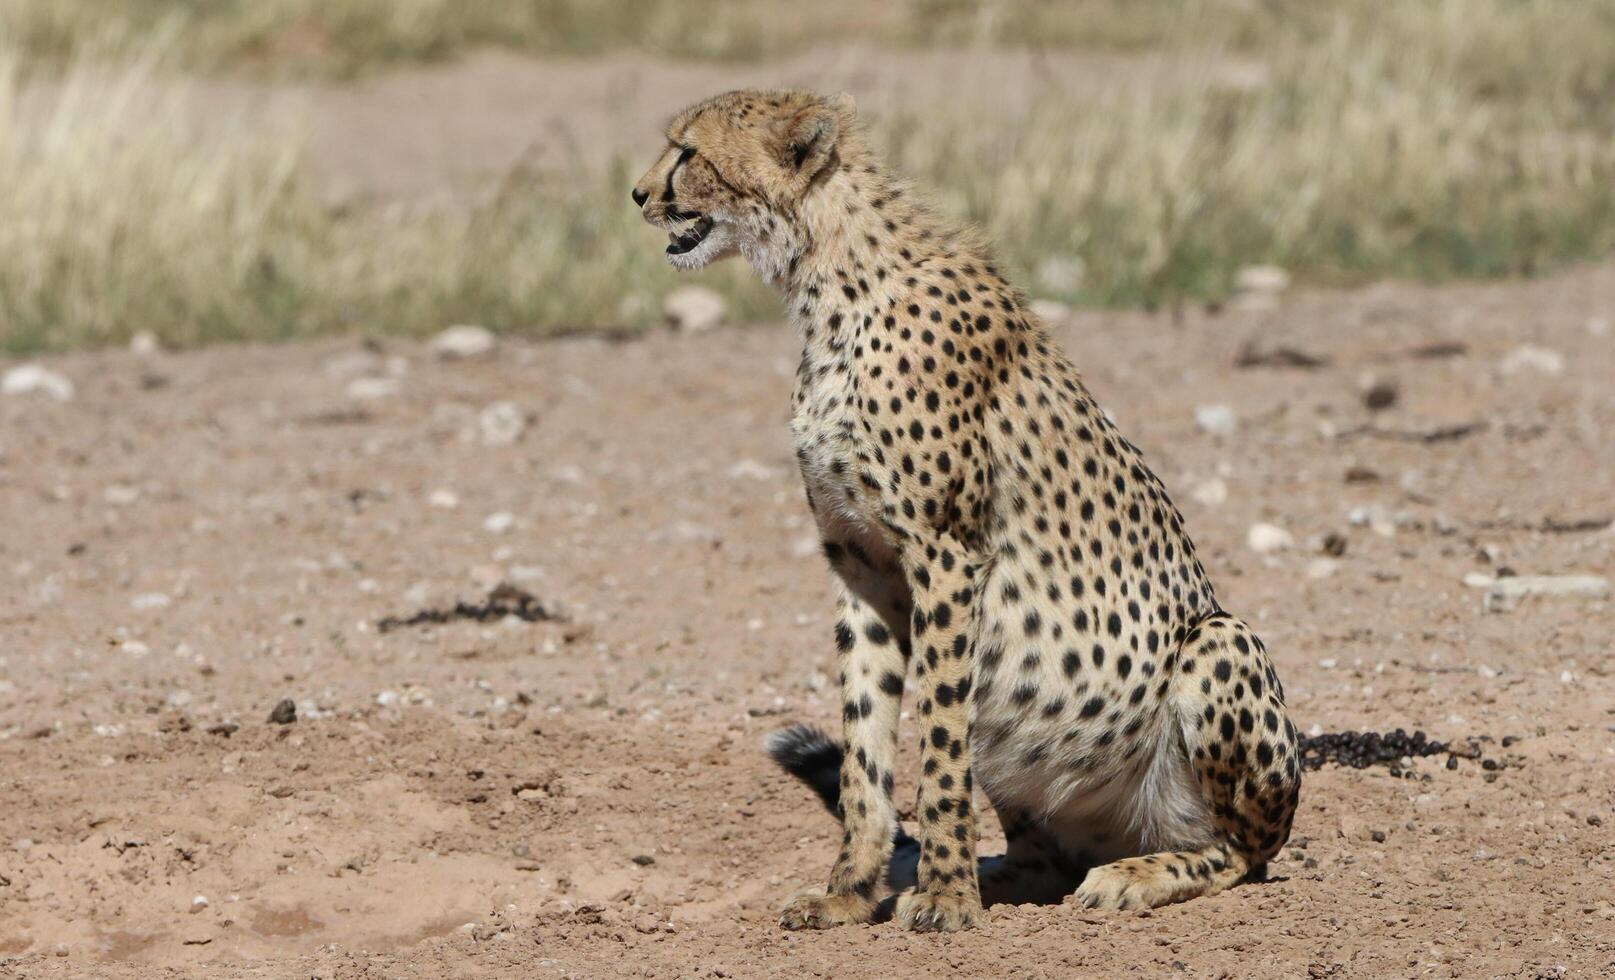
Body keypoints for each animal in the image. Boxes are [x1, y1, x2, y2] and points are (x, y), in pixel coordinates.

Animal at [629, 90, 1298, 936]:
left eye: (687, 152)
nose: (637, 194)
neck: (828, 279)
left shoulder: (944, 552)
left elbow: (941, 740)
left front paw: (945, 895)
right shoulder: (859, 560)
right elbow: (865, 747)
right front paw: (851, 890)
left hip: (1217, 641)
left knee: (1240, 850)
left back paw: (1135, 875)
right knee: (1045, 855)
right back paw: (1001, 872)